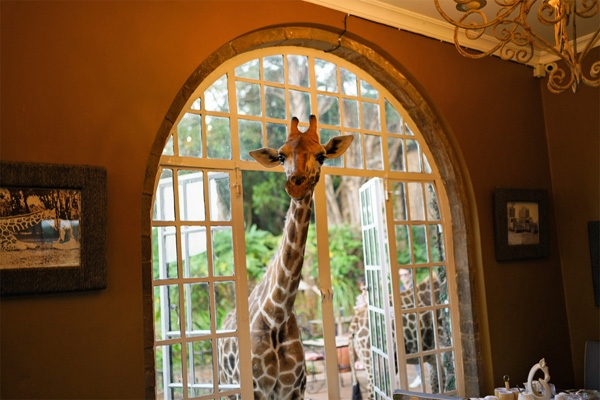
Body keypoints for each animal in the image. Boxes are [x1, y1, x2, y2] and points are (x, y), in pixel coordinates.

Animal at [219, 114, 352, 398]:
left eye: (322, 156)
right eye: (281, 156)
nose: (296, 184)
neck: (277, 314)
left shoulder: (294, 389)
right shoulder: (255, 389)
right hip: (229, 386)